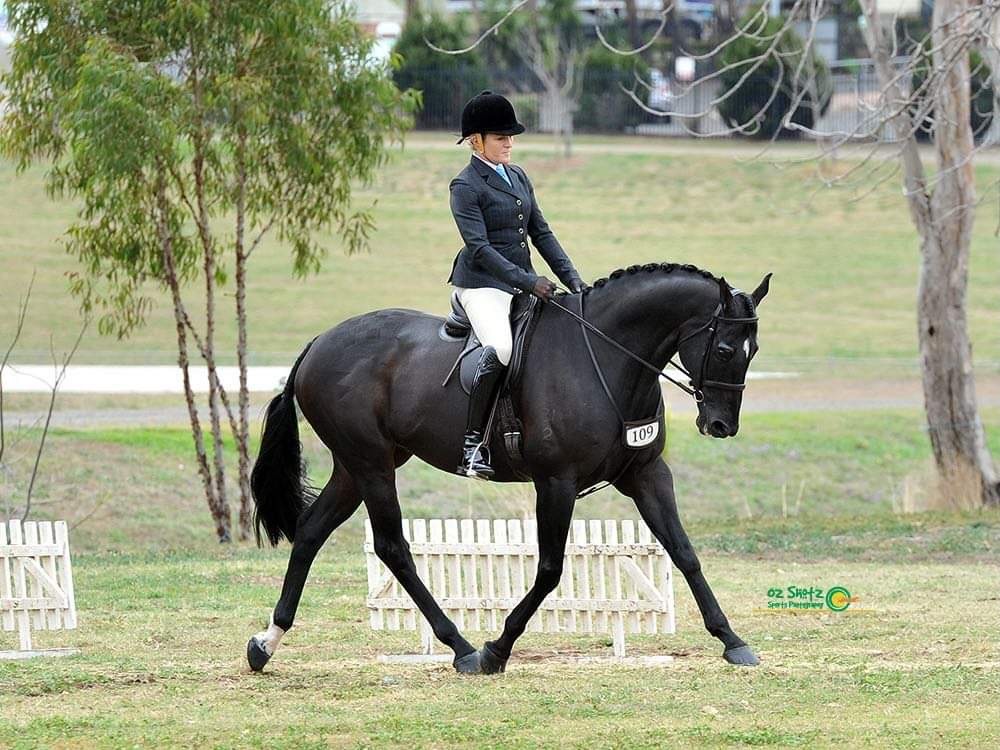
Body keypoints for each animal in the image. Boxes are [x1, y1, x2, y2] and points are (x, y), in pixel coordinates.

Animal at [246, 262, 771, 673]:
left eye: (754, 352)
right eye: (725, 350)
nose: (721, 425)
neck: (605, 357)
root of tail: (319, 342)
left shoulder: (646, 474)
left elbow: (684, 553)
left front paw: (733, 642)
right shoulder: (556, 483)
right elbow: (550, 569)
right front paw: (497, 649)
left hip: (358, 465)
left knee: (311, 531)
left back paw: (265, 644)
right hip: (371, 464)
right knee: (393, 547)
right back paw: (461, 648)